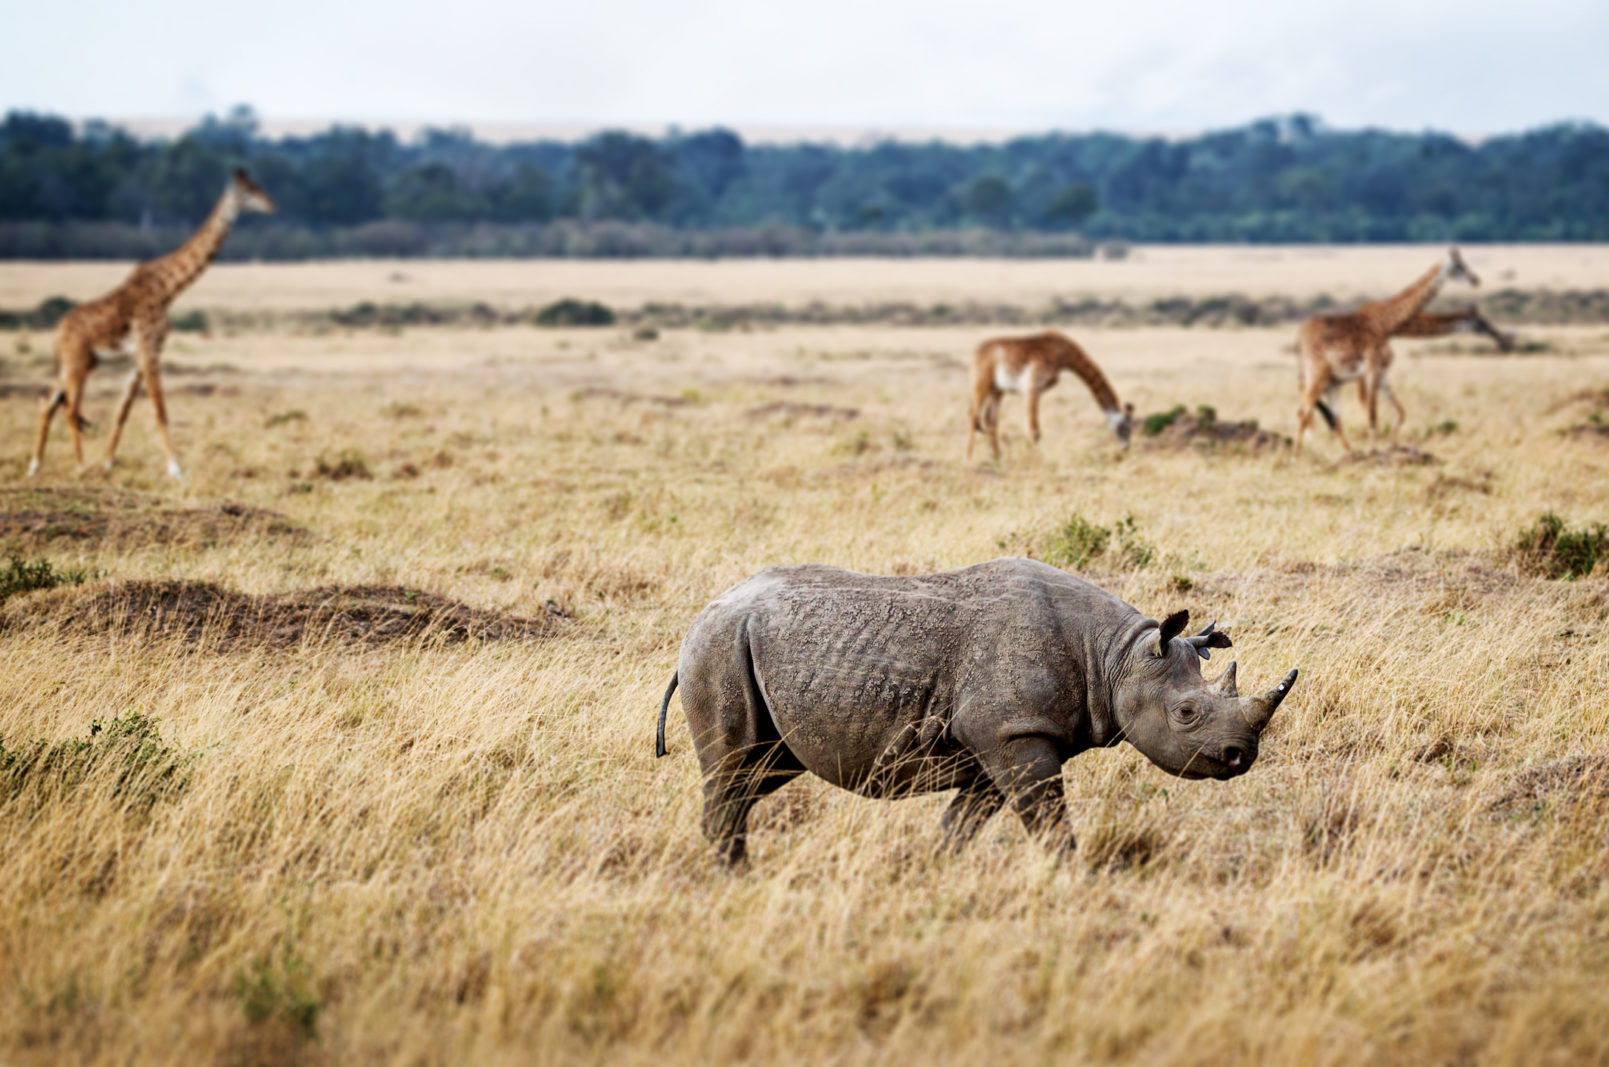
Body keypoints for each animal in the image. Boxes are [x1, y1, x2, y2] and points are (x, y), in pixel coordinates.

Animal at [28, 168, 275, 479]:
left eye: (258, 187)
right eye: (249, 190)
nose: (271, 205)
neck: (167, 290)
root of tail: (57, 332)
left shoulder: (141, 354)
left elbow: (123, 409)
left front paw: (108, 463)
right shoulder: (150, 349)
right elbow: (160, 409)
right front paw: (176, 468)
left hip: (80, 362)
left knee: (48, 399)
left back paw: (35, 466)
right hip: (77, 362)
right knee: (70, 407)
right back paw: (81, 466)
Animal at [1293, 249, 1480, 453]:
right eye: (1459, 266)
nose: (1476, 280)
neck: (1386, 322)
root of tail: (1301, 334)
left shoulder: (1380, 373)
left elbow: (1397, 412)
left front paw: (1387, 446)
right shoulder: (1371, 370)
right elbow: (1372, 412)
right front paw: (1373, 450)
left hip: (1331, 382)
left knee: (1332, 417)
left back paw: (1349, 453)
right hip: (1317, 374)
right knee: (1304, 412)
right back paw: (1298, 455)